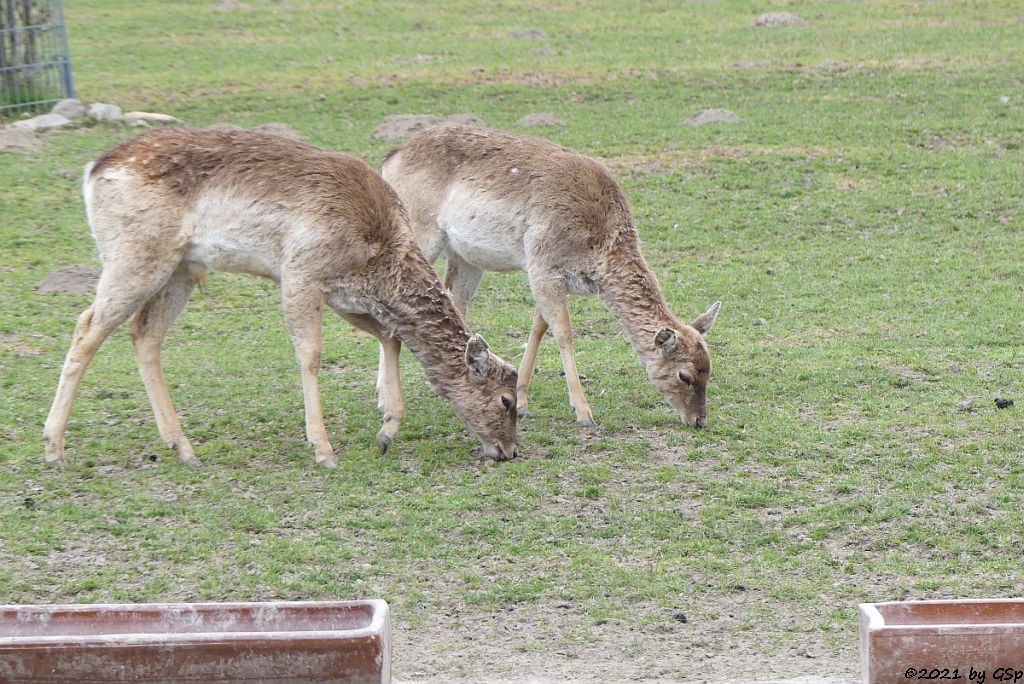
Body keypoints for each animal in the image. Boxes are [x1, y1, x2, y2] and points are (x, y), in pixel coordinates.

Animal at [44, 126, 520, 471]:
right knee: (87, 324)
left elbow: (392, 337)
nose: (510, 451)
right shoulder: (300, 272)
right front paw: (324, 450)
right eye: (507, 400)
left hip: (181, 268)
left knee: (144, 333)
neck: (379, 255)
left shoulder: (344, 294)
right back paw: (53, 447)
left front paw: (386, 431)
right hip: (135, 254)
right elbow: (311, 355)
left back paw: (184, 448)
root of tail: (94, 169)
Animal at [380, 124, 724, 428]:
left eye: (709, 369)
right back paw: (384, 402)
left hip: (464, 256)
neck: (597, 246)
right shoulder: (542, 263)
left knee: (454, 300)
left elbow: (539, 327)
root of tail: (391, 158)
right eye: (684, 375)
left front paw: (522, 403)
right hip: (419, 232)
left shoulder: (552, 276)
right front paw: (584, 413)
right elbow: (563, 332)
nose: (698, 421)